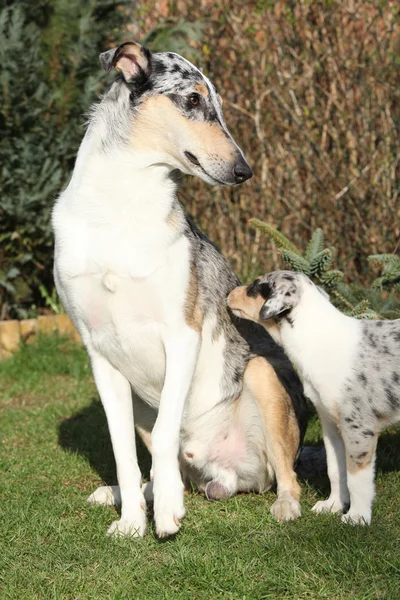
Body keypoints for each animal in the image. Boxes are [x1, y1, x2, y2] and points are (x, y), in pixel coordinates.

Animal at [228, 272, 400, 524]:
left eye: (255, 287)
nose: (228, 293)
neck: (317, 340)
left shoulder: (359, 427)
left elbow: (356, 478)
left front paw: (357, 517)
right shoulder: (330, 425)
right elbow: (336, 470)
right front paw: (333, 505)